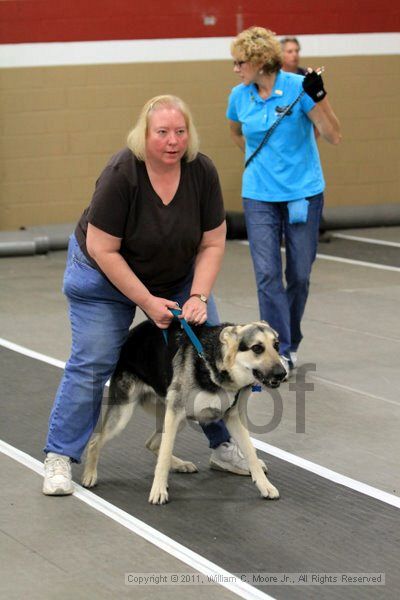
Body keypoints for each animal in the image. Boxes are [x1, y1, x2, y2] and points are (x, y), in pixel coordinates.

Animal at [83, 322, 286, 504]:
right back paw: (90, 475)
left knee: (151, 443)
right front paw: (158, 490)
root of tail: (131, 334)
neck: (212, 364)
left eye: (276, 345)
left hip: (177, 420)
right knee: (95, 442)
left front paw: (265, 486)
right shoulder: (174, 414)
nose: (282, 374)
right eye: (257, 348)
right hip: (125, 415)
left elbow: (251, 453)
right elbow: (165, 455)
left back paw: (180, 465)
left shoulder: (233, 418)